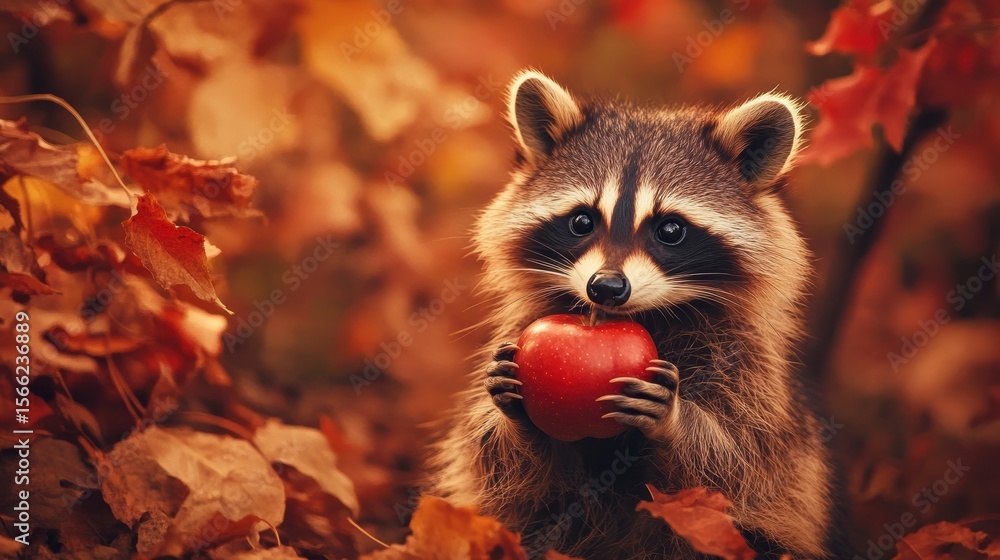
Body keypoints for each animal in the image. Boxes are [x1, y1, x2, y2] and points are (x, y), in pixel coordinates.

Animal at [429, 70, 844, 559]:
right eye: (582, 221)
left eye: (670, 230)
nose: (605, 288)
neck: (646, 315)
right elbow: (505, 471)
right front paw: (516, 417)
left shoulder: (746, 371)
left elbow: (737, 468)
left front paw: (675, 422)